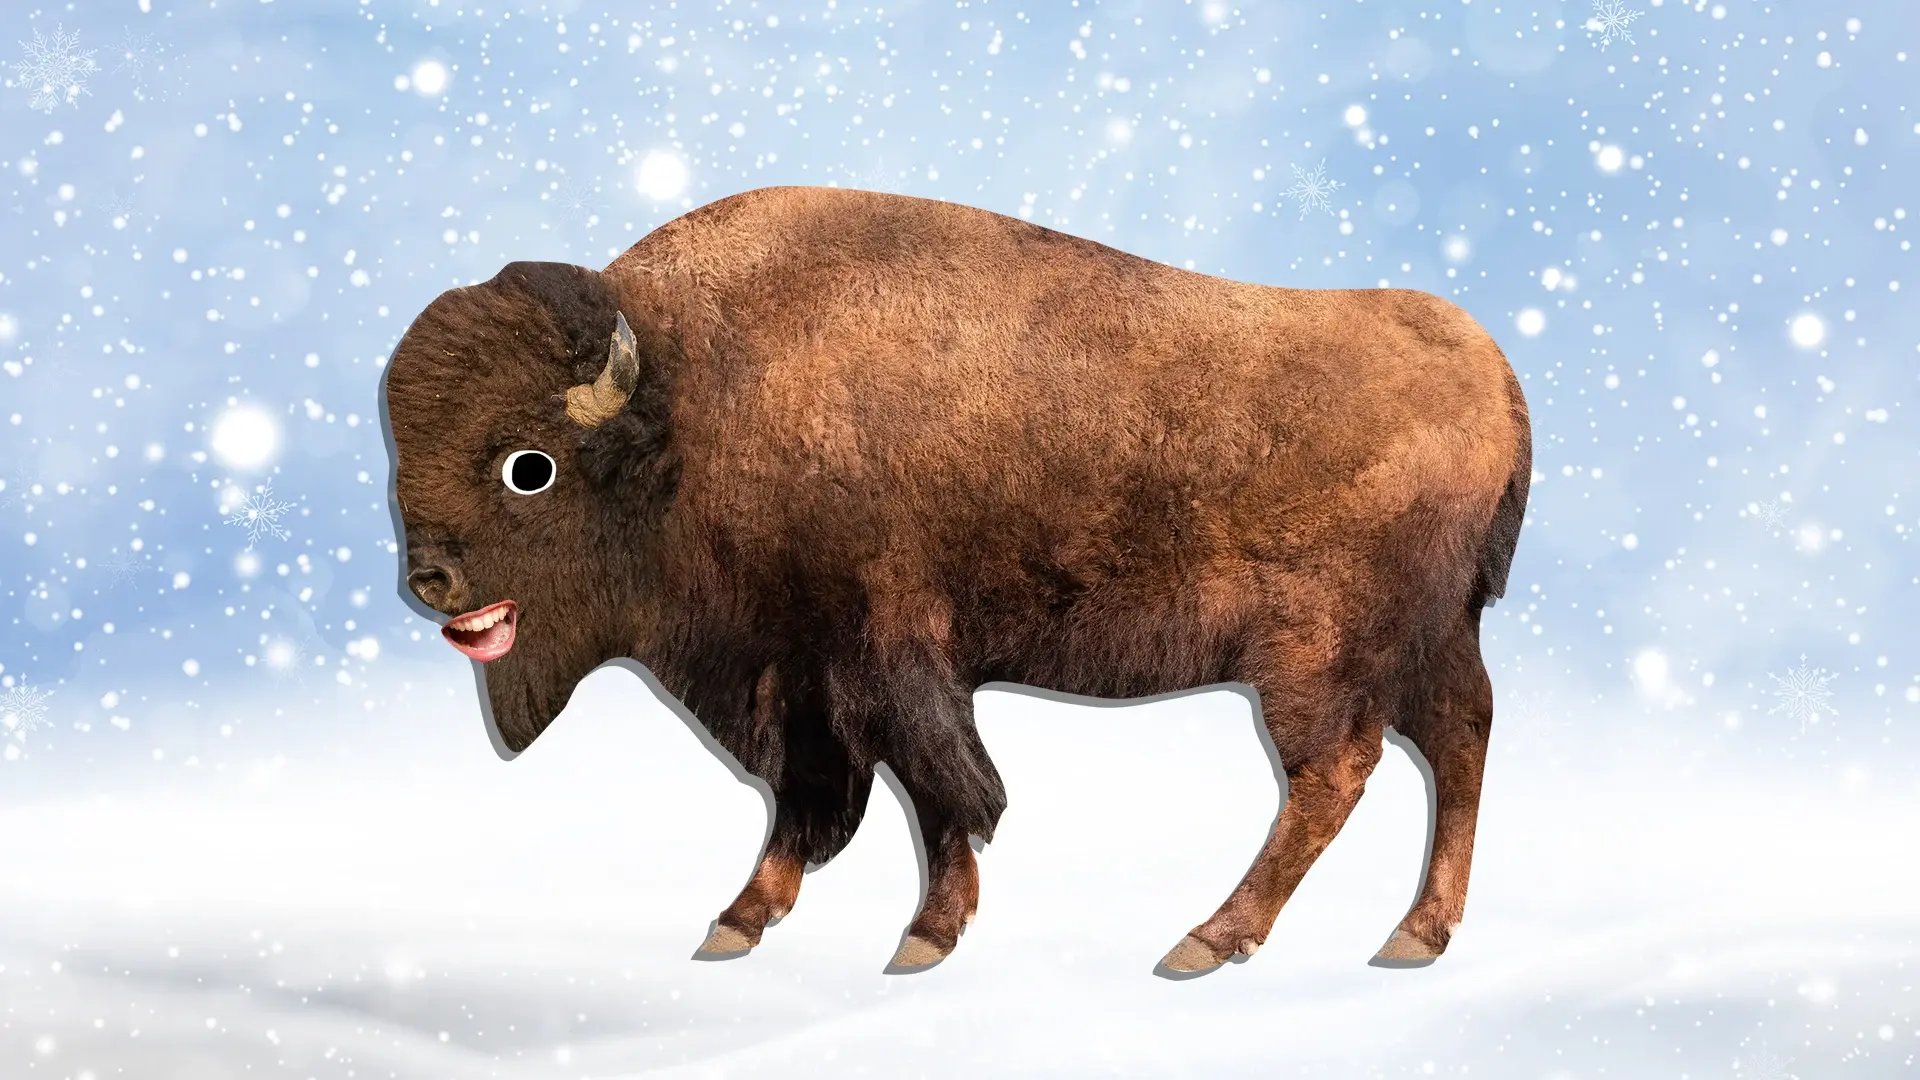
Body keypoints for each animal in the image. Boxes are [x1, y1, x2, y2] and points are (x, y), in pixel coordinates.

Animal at [383, 186, 1530, 973]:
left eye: (528, 467)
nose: (429, 579)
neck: (691, 402)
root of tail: (1488, 370)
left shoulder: (882, 658)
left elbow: (937, 787)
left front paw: (924, 936)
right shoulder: (807, 676)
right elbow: (826, 795)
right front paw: (740, 922)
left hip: (1312, 657)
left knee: (1334, 772)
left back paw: (1207, 940)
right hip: (1433, 640)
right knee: (1460, 742)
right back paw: (1416, 934)